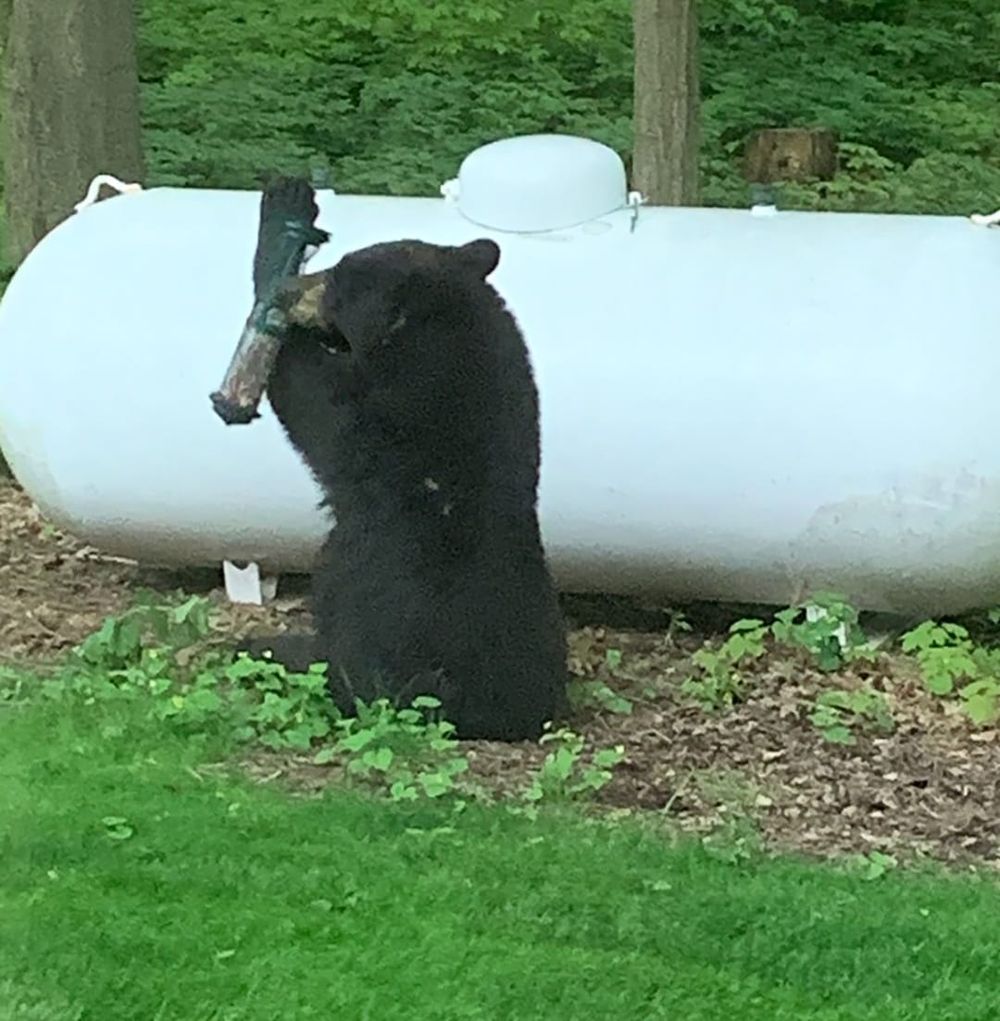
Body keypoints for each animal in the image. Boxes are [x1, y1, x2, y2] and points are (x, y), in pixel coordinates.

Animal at [240, 211, 568, 742]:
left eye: (336, 281)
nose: (290, 290)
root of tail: (484, 713)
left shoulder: (394, 405)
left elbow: (316, 403)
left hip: (362, 600)